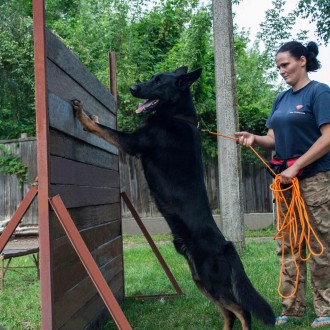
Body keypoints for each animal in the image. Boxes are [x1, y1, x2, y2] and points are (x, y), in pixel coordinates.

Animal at [72, 67, 276, 330]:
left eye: (158, 82)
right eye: (151, 77)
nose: (132, 88)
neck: (176, 116)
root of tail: (226, 245)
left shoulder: (132, 142)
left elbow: (105, 130)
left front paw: (83, 115)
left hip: (211, 282)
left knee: (242, 311)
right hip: (201, 281)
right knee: (229, 314)